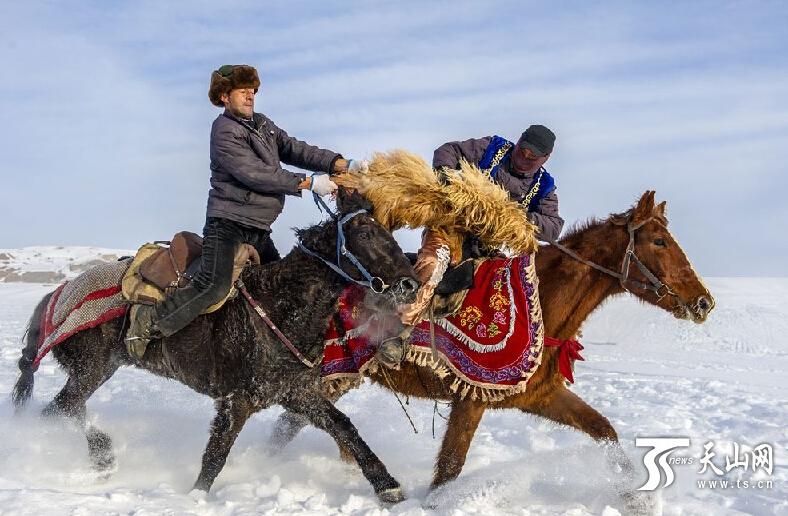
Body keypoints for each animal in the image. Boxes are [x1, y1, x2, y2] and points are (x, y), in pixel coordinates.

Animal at [12, 191, 418, 502]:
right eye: (365, 232)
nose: (411, 284)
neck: (279, 306)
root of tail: (56, 296)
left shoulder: (298, 393)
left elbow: (343, 427)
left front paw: (388, 486)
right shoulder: (235, 401)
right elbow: (216, 455)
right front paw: (194, 498)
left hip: (99, 369)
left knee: (59, 410)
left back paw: (97, 458)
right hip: (91, 368)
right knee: (64, 408)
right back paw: (98, 454)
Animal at [270, 190, 716, 500]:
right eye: (659, 242)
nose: (703, 302)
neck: (541, 300)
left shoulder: (542, 396)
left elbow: (604, 431)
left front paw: (634, 500)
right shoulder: (471, 399)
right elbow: (449, 471)